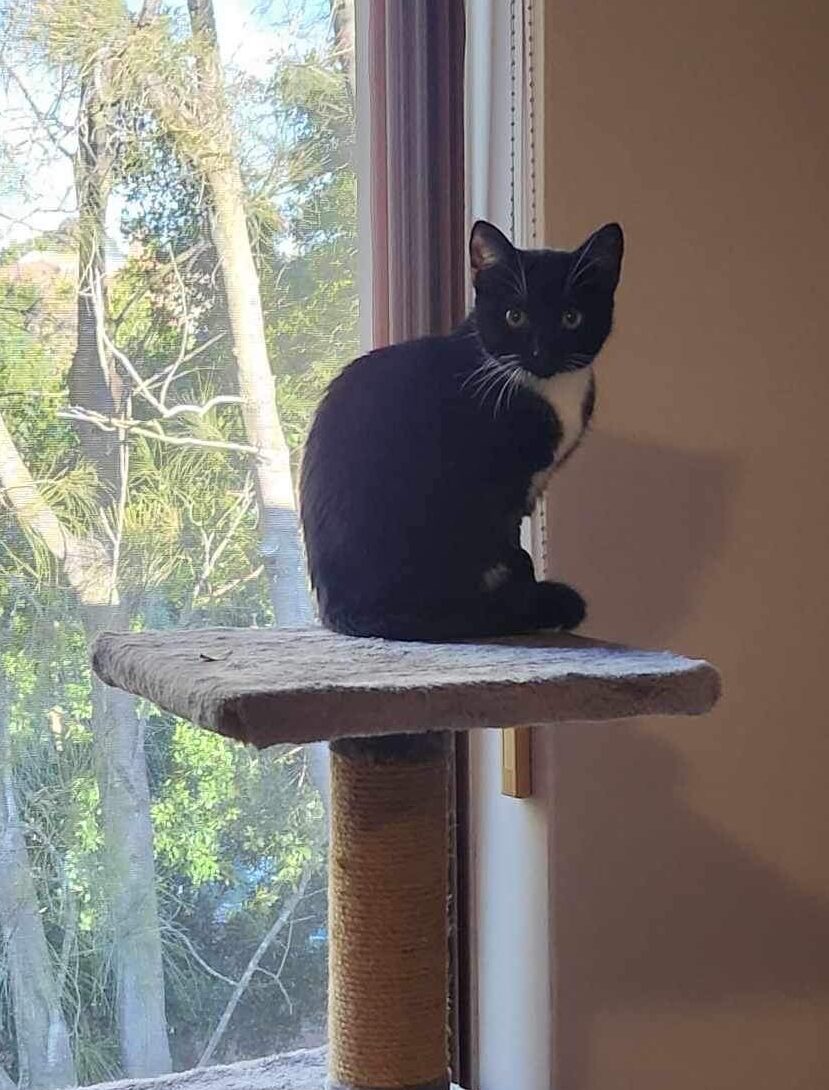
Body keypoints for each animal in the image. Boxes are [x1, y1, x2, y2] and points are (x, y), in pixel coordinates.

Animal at [299, 218, 623, 640]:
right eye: (514, 316)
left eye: (572, 318)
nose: (542, 353)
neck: (543, 388)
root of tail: (343, 610)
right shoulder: (496, 487)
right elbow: (513, 551)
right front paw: (527, 593)